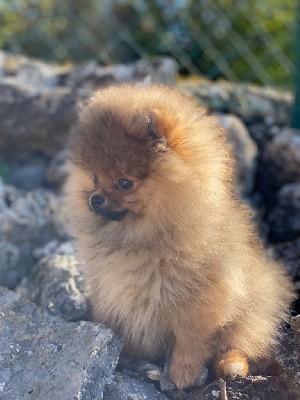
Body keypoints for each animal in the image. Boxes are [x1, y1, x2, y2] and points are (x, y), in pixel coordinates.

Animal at [65, 83, 292, 388]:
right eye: (94, 178)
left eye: (124, 183)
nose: (95, 200)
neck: (141, 235)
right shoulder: (109, 289)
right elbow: (116, 319)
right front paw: (121, 348)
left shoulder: (199, 300)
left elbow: (191, 340)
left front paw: (184, 372)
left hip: (251, 310)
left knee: (243, 342)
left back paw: (231, 365)